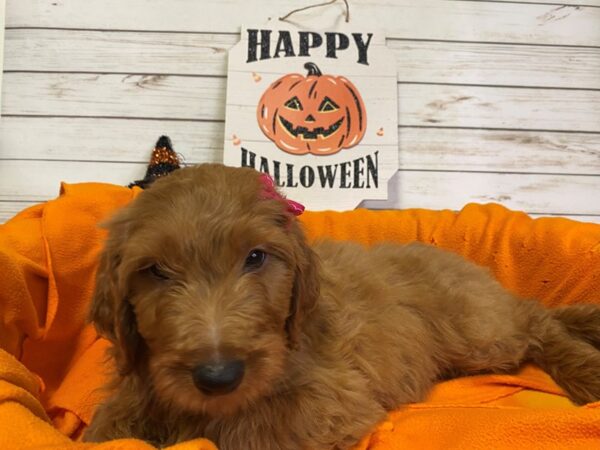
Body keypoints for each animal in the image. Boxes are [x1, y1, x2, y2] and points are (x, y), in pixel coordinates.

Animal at [85, 163, 600, 448]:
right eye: (155, 271)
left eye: (255, 258)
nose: (218, 377)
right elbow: (108, 424)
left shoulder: (329, 402)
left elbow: (242, 433)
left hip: (479, 332)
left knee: (536, 318)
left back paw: (586, 368)